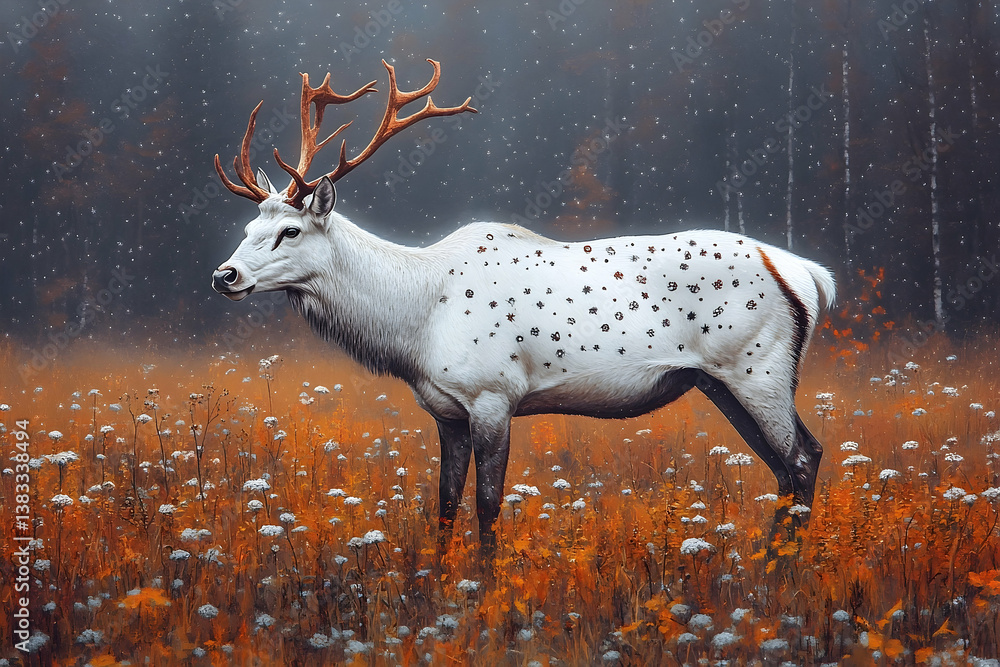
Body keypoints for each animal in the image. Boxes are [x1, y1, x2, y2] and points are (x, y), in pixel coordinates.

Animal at [212, 58, 836, 558]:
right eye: (246, 229)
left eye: (290, 231)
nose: (225, 275)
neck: (414, 327)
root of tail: (809, 275)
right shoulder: (445, 411)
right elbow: (443, 505)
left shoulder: (494, 393)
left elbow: (487, 506)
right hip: (720, 382)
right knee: (788, 468)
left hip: (759, 369)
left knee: (802, 459)